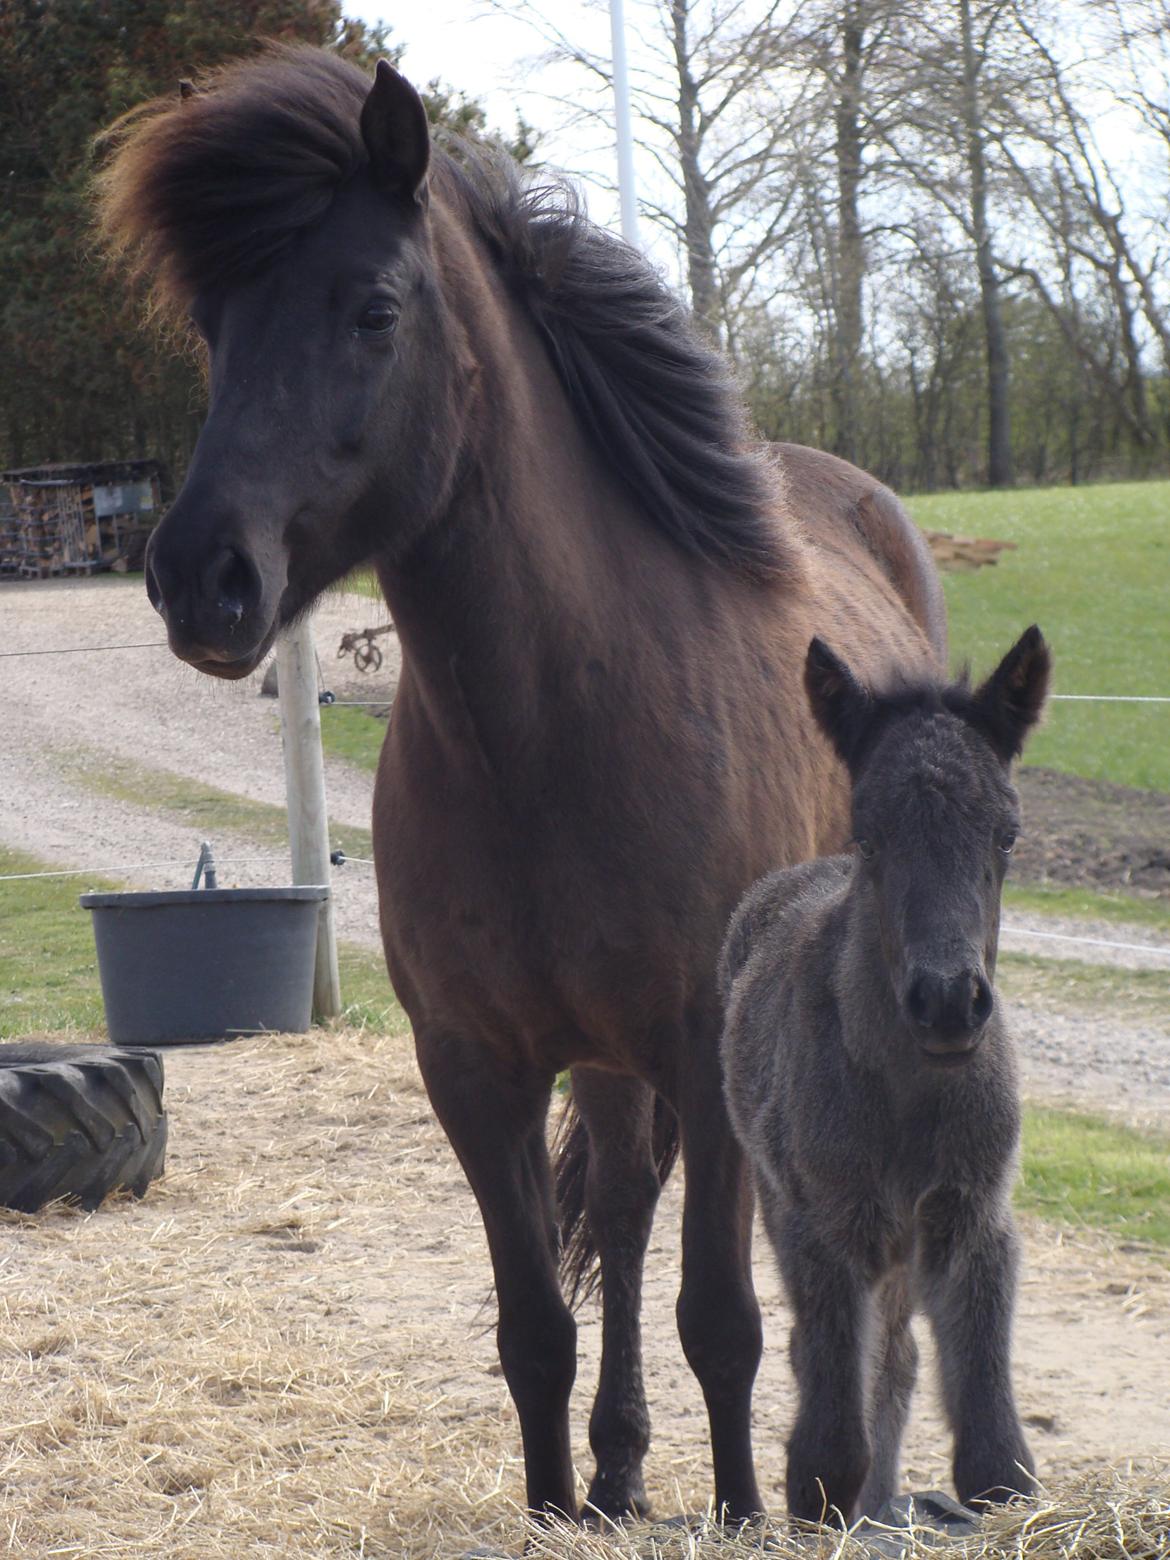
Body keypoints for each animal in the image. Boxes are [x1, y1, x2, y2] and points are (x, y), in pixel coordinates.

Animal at [96, 45, 948, 1522]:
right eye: (214, 326)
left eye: (373, 307)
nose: (203, 577)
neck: (555, 731)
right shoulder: (474, 1068)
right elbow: (535, 1322)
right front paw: (564, 1497)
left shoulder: (703, 1054)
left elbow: (722, 1320)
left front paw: (741, 1510)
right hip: (601, 1062)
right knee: (618, 1203)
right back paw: (617, 1469)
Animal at [720, 630, 1048, 1522]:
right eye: (868, 836)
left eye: (1007, 837)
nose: (947, 1003)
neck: (909, 1092)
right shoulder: (825, 1225)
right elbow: (828, 1431)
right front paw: (830, 1500)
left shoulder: (972, 1218)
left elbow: (997, 1462)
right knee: (835, 1354)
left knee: (898, 1358)